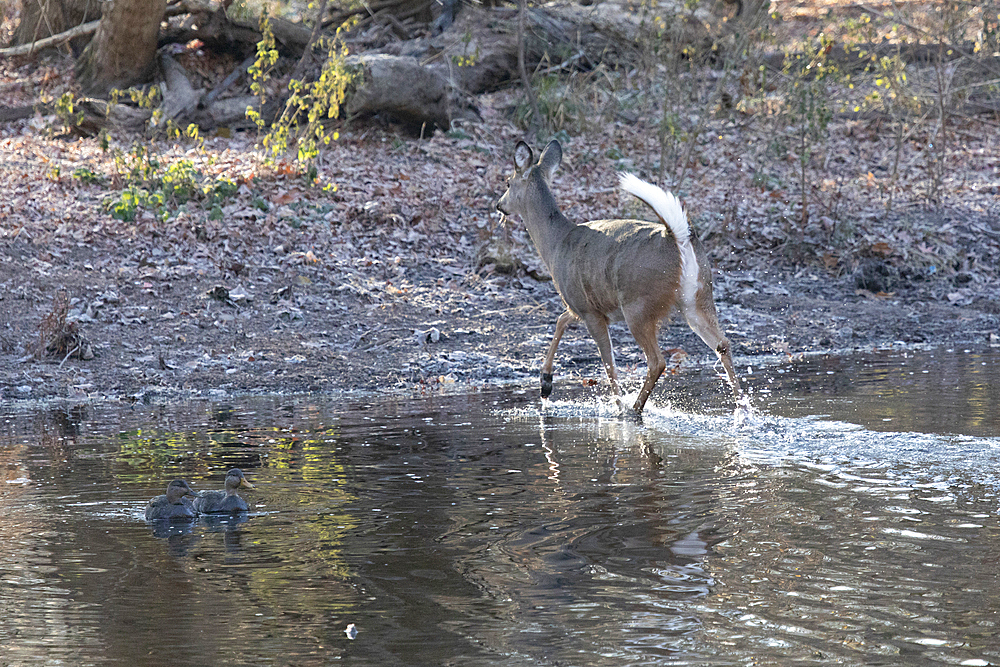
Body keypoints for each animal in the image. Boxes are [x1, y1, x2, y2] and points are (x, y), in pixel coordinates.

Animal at [498, 139, 744, 414]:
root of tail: (677, 236)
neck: (556, 244)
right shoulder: (583, 304)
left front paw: (617, 404)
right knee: (723, 344)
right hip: (698, 296)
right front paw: (545, 383)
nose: (499, 205)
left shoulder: (588, 308)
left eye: (507, 182)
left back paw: (633, 409)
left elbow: (608, 362)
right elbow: (562, 320)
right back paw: (742, 408)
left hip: (639, 304)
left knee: (657, 361)